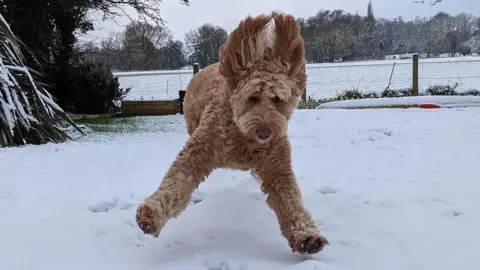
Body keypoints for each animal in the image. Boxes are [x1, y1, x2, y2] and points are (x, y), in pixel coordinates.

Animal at [137, 11, 328, 255]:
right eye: (252, 97)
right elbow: (175, 182)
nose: (265, 132)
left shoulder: (278, 166)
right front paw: (151, 215)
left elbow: (290, 200)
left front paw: (306, 236)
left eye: (277, 99)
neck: (243, 136)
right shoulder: (197, 152)